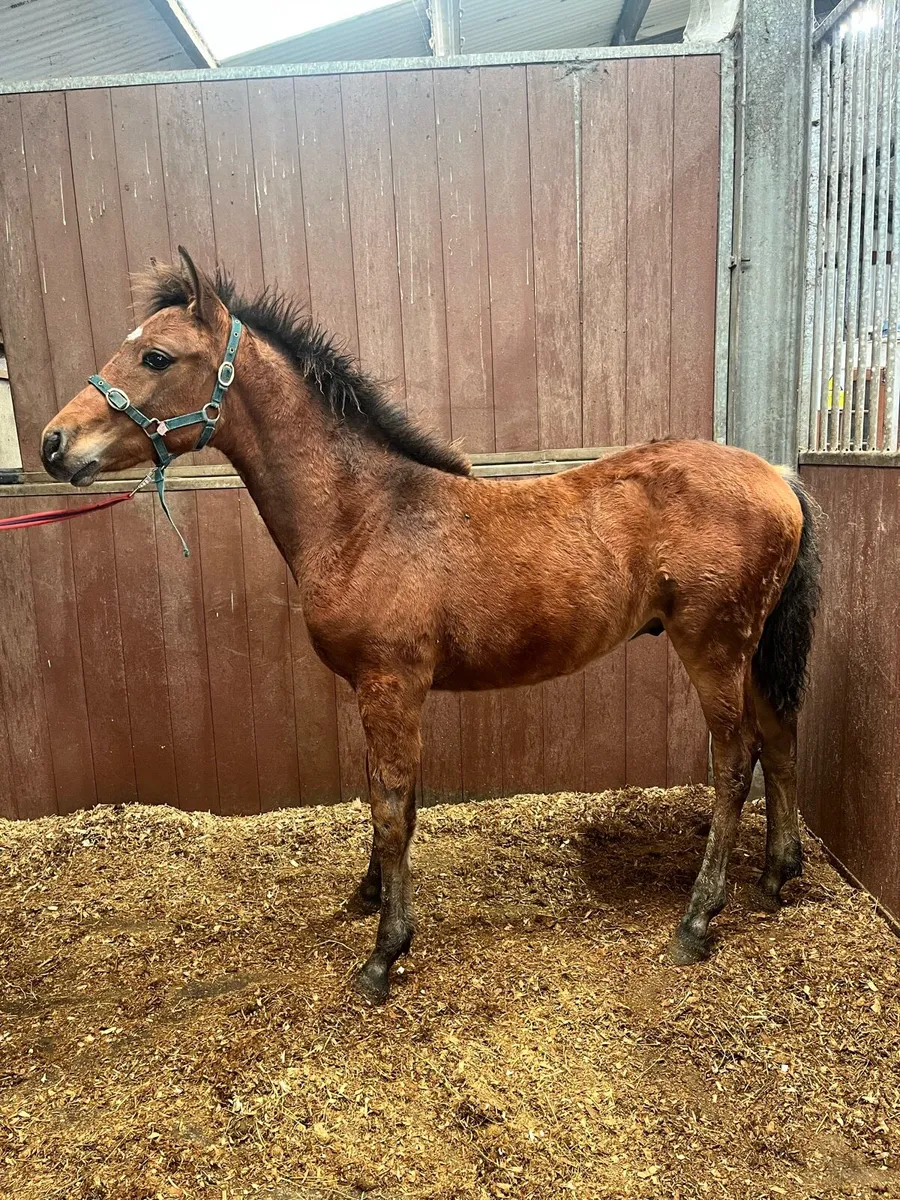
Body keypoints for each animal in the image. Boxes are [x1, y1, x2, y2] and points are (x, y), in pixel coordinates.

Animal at [41, 249, 821, 1005]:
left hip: (714, 646)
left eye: (157, 357)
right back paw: (776, 877)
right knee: (781, 737)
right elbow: (389, 800)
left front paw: (384, 954)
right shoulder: (378, 689)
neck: (366, 517)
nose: (54, 443)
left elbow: (392, 807)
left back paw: (698, 920)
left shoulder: (391, 685)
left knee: (736, 762)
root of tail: (776, 476)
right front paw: (368, 898)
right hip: (750, 649)